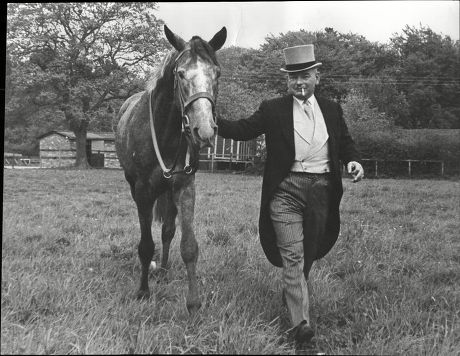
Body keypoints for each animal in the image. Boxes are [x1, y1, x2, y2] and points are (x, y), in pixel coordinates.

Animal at [115, 25, 226, 314]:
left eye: (217, 73)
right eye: (180, 73)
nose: (204, 130)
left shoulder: (184, 187)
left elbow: (187, 245)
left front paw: (193, 302)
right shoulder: (142, 192)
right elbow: (145, 245)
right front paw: (143, 291)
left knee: (167, 230)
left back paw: (164, 270)